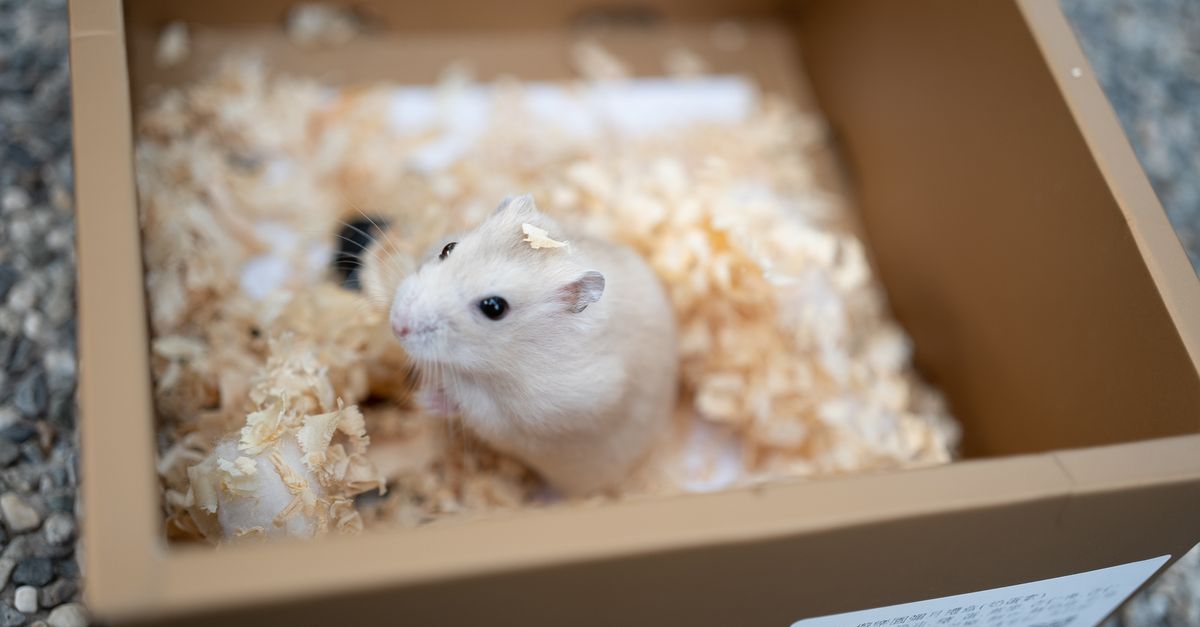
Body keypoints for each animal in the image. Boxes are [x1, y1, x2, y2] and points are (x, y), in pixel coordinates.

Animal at [388, 194, 678, 495]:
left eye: (494, 307)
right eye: (448, 248)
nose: (397, 325)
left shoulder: (527, 412)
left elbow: (470, 407)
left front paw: (425, 400)